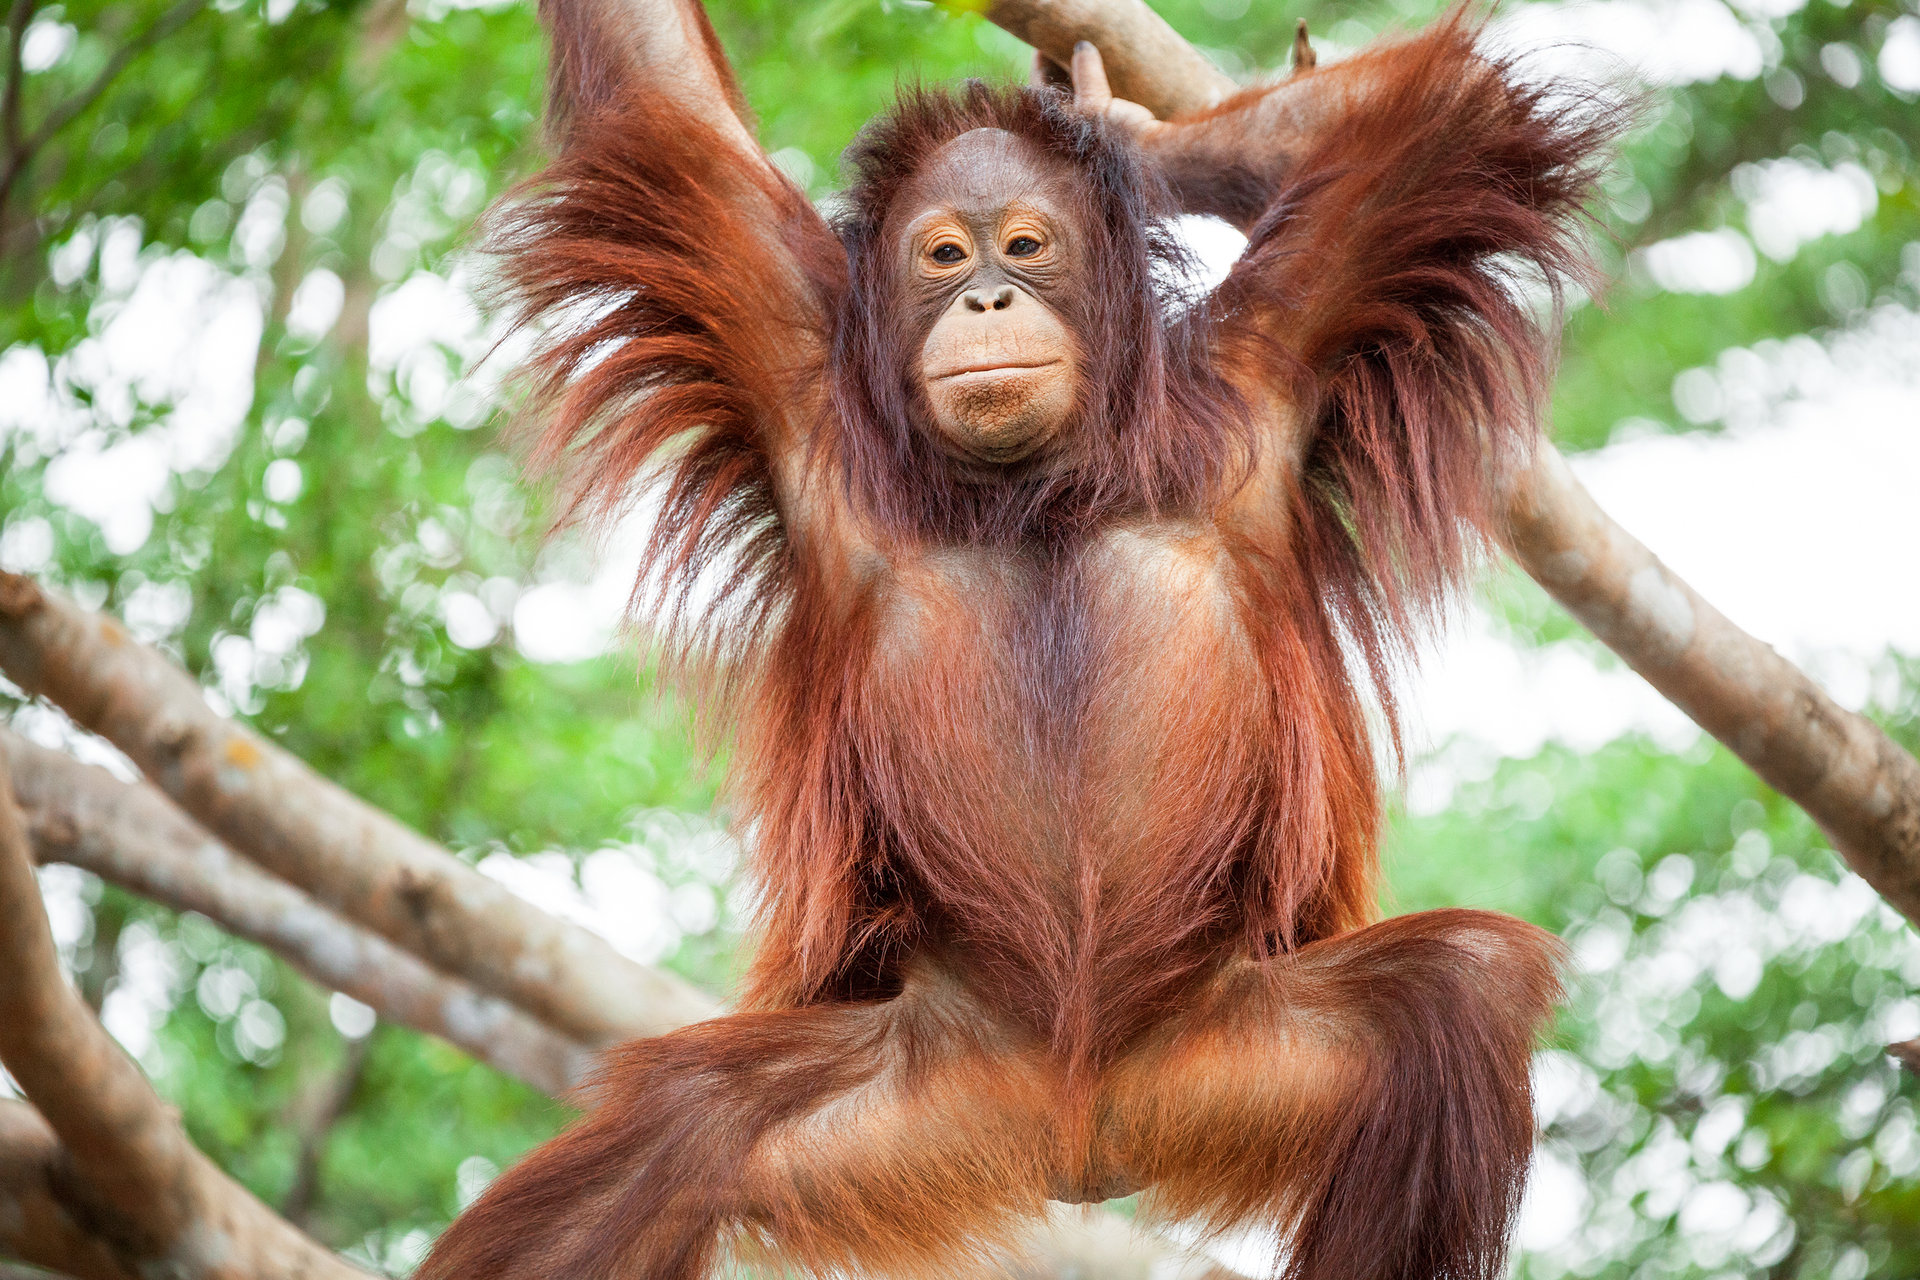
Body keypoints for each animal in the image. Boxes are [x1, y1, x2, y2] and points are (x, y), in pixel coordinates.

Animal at [418, 2, 1622, 1276]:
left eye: (1028, 245)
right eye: (946, 255)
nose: (988, 300)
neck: (1033, 486)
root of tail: (1073, 1132)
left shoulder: (1276, 351)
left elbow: (1455, 119)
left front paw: (1122, 130)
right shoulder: (785, 348)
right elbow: (657, 96)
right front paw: (1109, 123)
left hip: (1223, 1051)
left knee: (1461, 986)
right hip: (929, 1087)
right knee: (676, 1123)